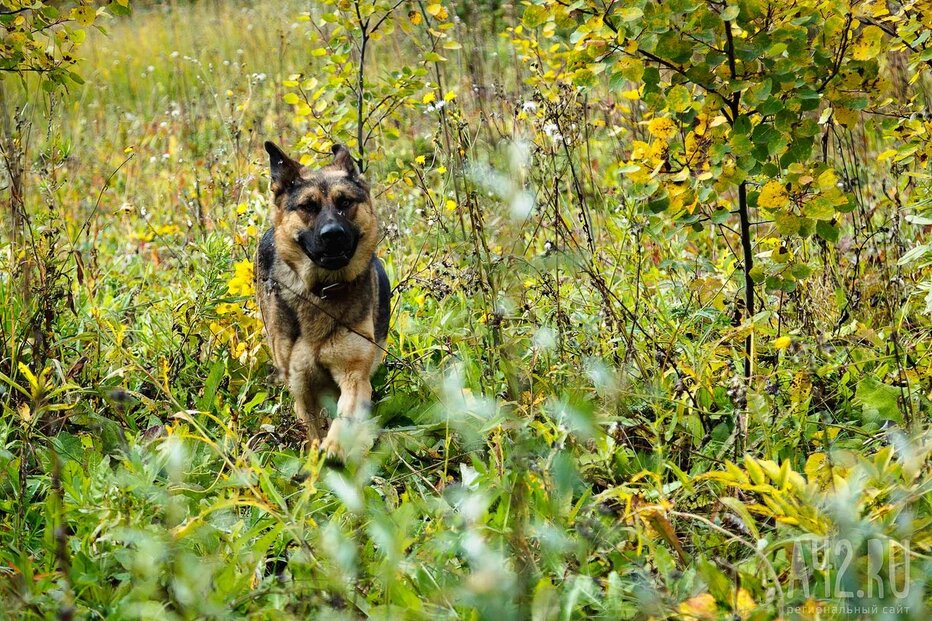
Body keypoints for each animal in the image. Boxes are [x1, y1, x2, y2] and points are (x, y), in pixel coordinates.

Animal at [255, 143, 390, 458]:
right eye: (308, 206)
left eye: (345, 202)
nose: (333, 235)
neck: (323, 289)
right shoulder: (302, 385)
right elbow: (314, 428)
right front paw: (318, 455)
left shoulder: (354, 373)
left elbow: (346, 414)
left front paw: (336, 446)